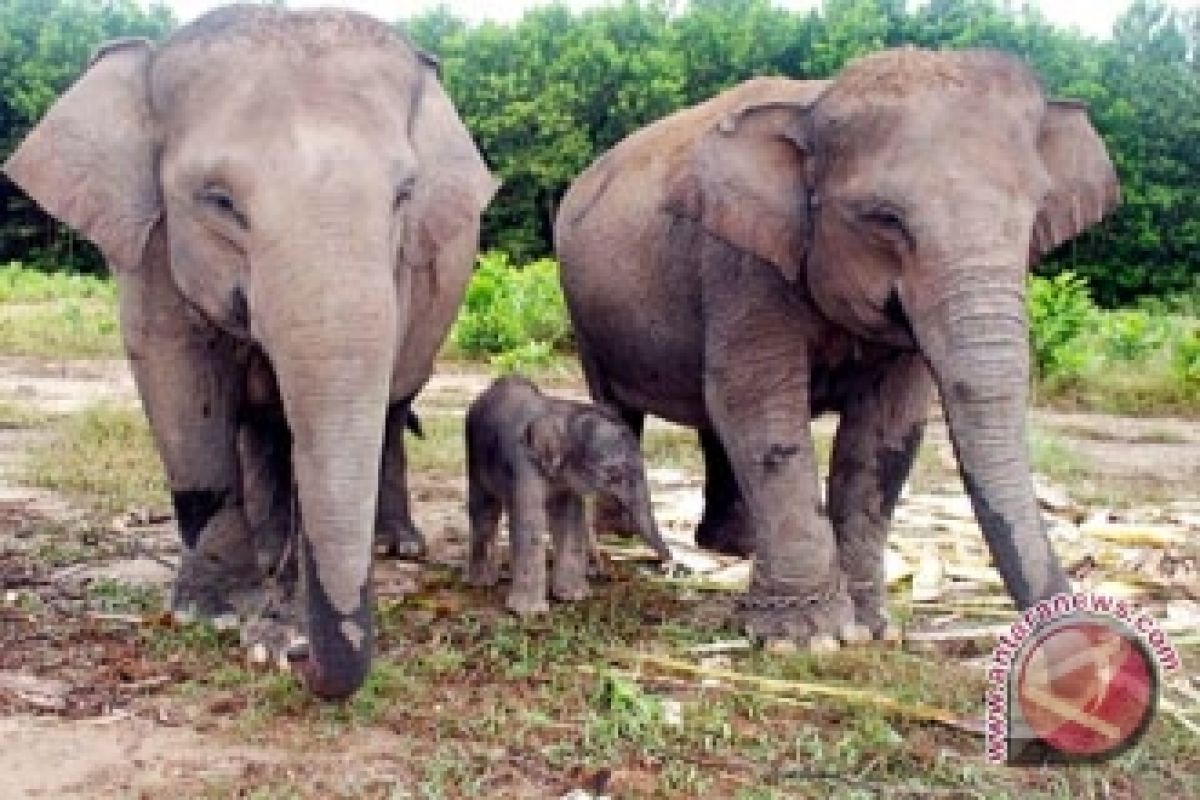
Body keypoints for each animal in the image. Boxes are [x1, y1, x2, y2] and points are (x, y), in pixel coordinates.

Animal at [1, 4, 496, 695]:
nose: (302, 659)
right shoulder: (148, 244)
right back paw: (269, 550)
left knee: (393, 409)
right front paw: (212, 613)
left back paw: (397, 546)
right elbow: (178, 382)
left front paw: (276, 627)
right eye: (219, 200)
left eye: (404, 194)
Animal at [465, 376, 676, 618]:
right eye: (613, 473)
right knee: (484, 510)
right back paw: (482, 582)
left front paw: (574, 597)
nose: (668, 567)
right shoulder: (523, 466)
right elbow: (530, 523)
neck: (564, 412)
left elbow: (570, 519)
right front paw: (529, 612)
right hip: (474, 456)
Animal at [556, 47, 1118, 652]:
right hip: (585, 312)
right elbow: (758, 402)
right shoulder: (740, 261)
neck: (816, 102)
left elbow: (887, 428)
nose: (1086, 627)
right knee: (619, 407)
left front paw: (868, 628)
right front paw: (804, 638)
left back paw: (733, 548)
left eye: (1035, 215)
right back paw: (625, 539)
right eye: (885, 220)